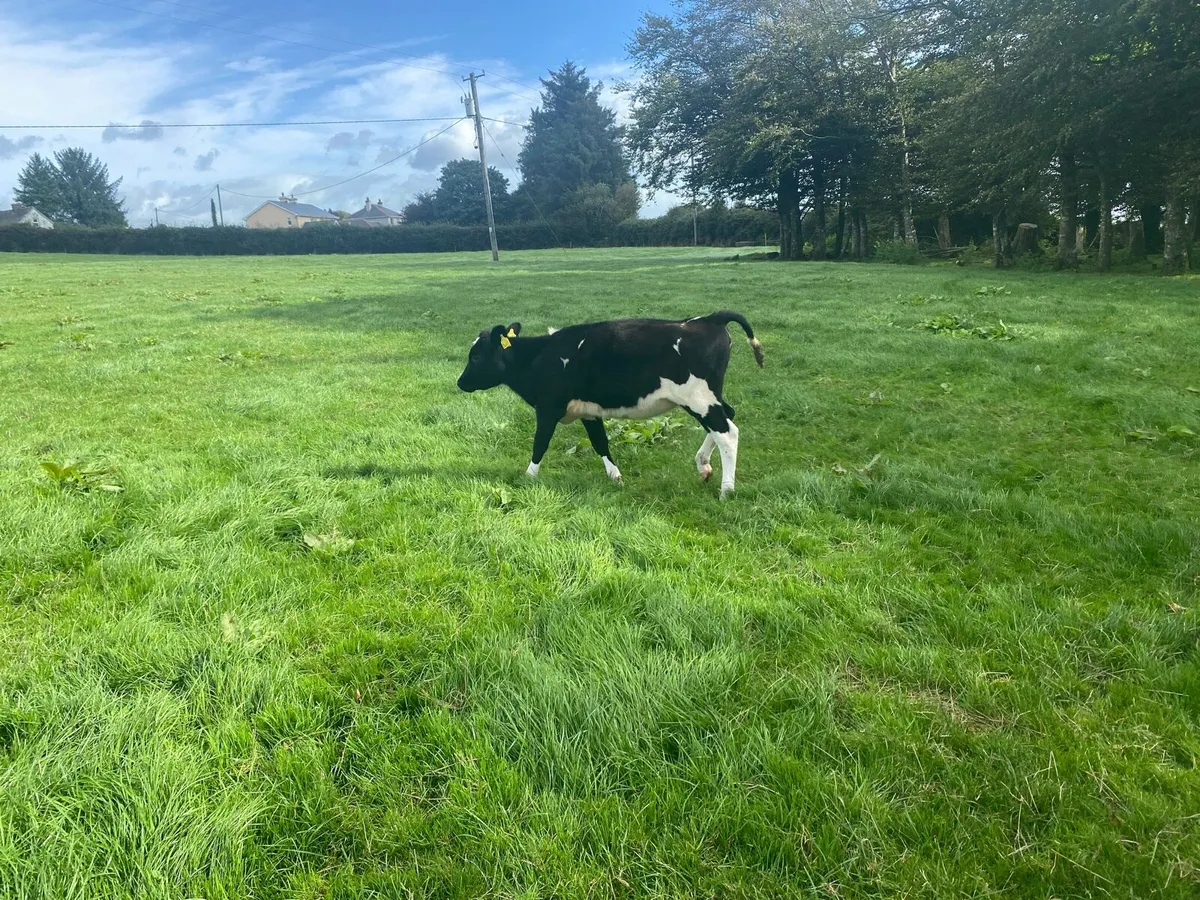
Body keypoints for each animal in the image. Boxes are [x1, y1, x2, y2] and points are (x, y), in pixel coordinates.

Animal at [456, 311, 764, 498]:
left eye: (476, 356)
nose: (460, 382)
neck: (540, 356)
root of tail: (710, 318)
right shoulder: (588, 412)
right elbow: (600, 443)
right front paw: (616, 477)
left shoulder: (548, 408)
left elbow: (539, 443)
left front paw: (528, 477)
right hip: (708, 398)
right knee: (727, 419)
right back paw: (703, 466)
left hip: (699, 399)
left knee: (727, 433)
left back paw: (727, 490)